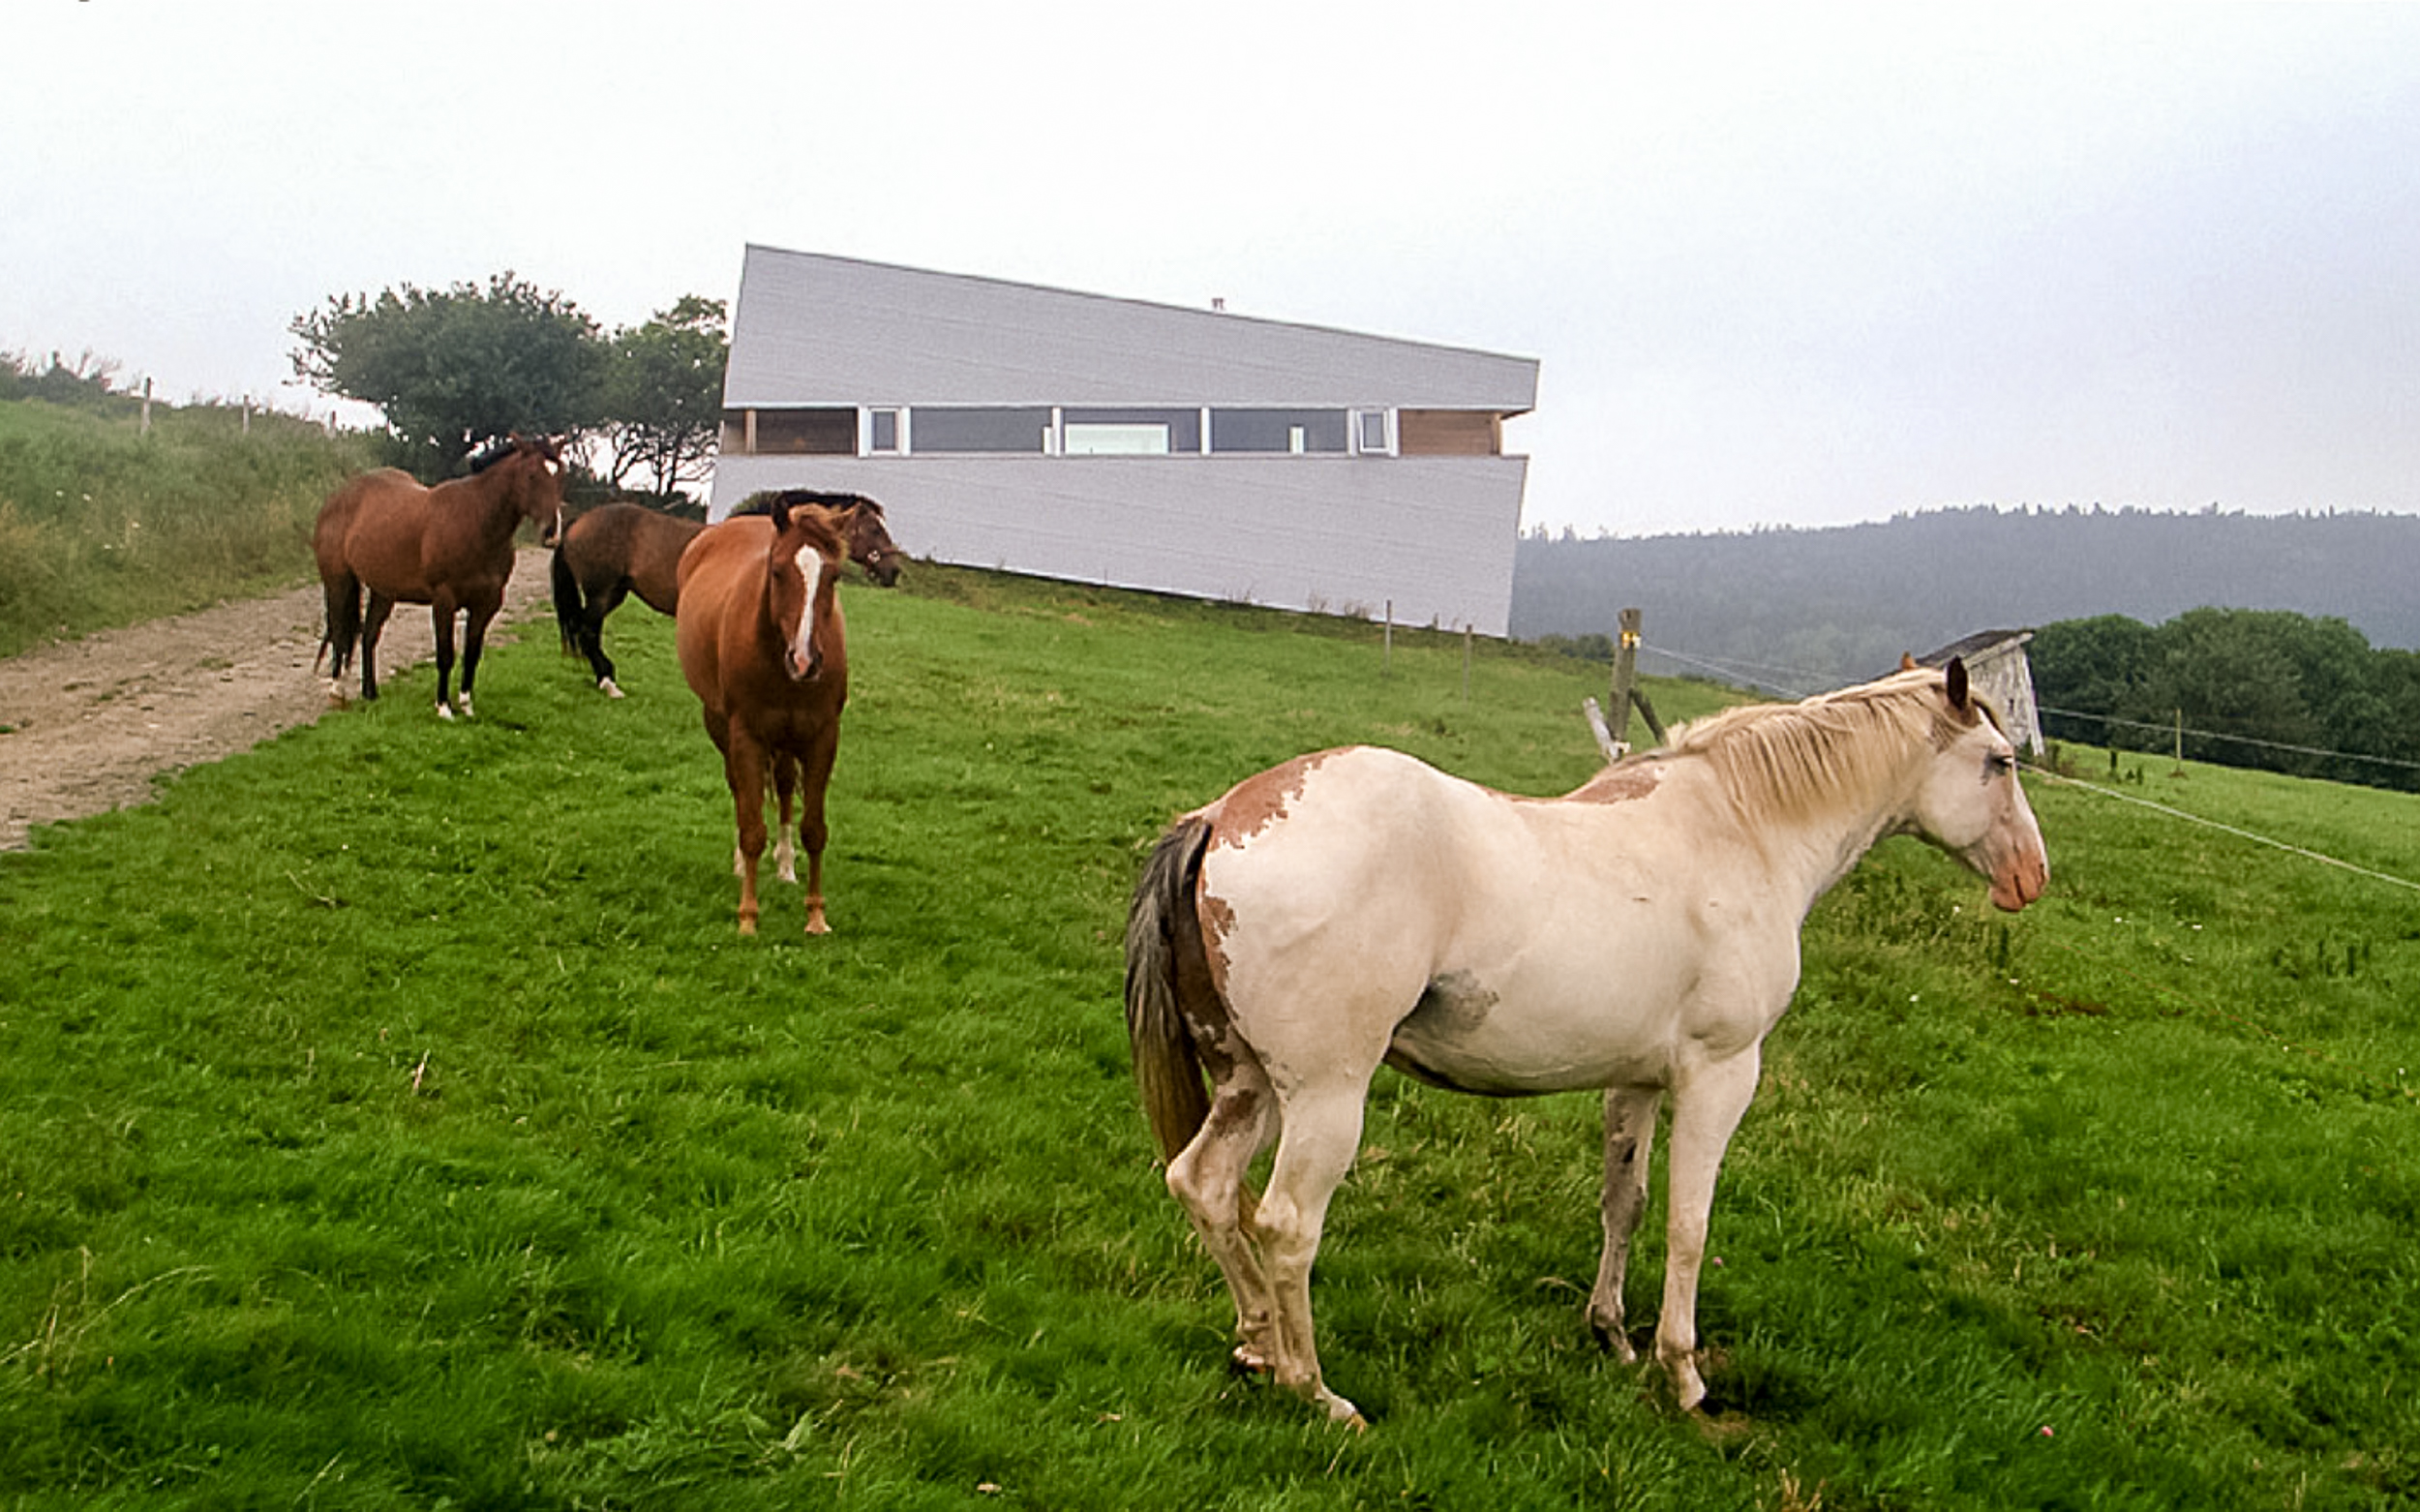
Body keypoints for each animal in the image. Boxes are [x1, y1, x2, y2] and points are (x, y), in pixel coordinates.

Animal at [317, 435, 566, 720]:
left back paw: (371, 693)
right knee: (339, 633)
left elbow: (472, 654)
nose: (552, 533)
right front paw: (444, 707)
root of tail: (337, 498)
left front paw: (467, 705)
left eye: (561, 475)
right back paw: (337, 692)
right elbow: (445, 654)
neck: (476, 523)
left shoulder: (486, 604)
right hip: (338, 582)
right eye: (531, 475)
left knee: (369, 635)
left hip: (384, 591)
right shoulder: (444, 601)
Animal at [554, 488, 905, 696]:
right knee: (587, 631)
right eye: (874, 529)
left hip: (611, 593)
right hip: (602, 593)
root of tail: (578, 521)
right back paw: (608, 682)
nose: (894, 571)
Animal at [673, 496, 852, 933]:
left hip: (787, 738)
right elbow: (753, 827)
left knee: (785, 786)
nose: (805, 661)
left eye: (834, 576)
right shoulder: (747, 736)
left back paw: (786, 865)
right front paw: (748, 918)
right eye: (777, 571)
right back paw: (742, 863)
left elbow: (814, 830)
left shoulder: (822, 737)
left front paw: (816, 917)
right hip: (721, 725)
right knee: (740, 790)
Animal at [1118, 652, 2042, 1422]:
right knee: (1284, 1226)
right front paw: (1682, 1375)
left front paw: (1612, 1334)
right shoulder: (1720, 1076)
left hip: (1253, 1084)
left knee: (1203, 1185)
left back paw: (1258, 1345)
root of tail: (1223, 815)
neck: (1744, 831)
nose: (2032, 876)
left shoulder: (1635, 1080)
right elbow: (1689, 1224)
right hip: (1323, 1097)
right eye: (2000, 762)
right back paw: (1317, 1392)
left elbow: (1623, 1203)